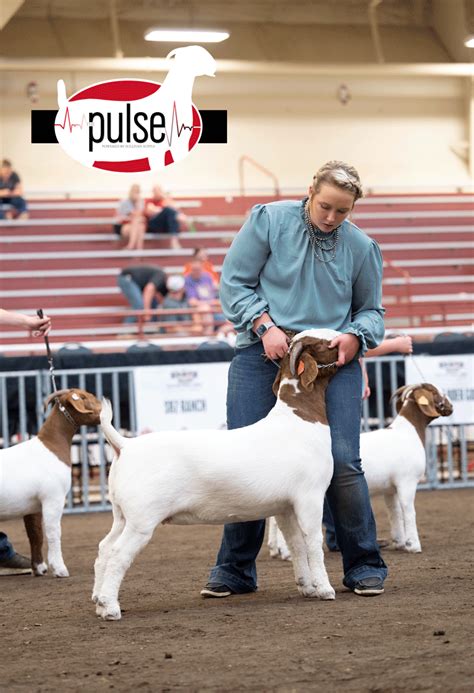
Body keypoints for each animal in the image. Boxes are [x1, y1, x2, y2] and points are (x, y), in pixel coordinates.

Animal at [0, 386, 102, 576]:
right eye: (86, 396)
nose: (107, 410)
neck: (51, 445)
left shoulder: (32, 506)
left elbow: (36, 534)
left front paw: (39, 567)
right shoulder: (53, 498)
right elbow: (54, 533)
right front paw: (60, 568)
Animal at [93, 328, 340, 620]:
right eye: (325, 344)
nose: (344, 337)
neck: (299, 419)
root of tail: (125, 445)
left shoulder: (285, 507)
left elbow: (296, 545)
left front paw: (307, 587)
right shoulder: (309, 497)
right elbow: (313, 543)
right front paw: (324, 589)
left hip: (122, 515)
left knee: (104, 548)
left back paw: (98, 601)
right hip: (142, 520)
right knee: (118, 554)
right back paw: (110, 607)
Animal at [268, 382, 454, 560]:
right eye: (435, 392)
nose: (451, 407)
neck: (408, 432)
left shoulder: (390, 489)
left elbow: (394, 513)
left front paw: (400, 542)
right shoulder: (407, 482)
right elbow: (408, 511)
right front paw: (413, 545)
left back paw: (275, 549)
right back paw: (285, 553)